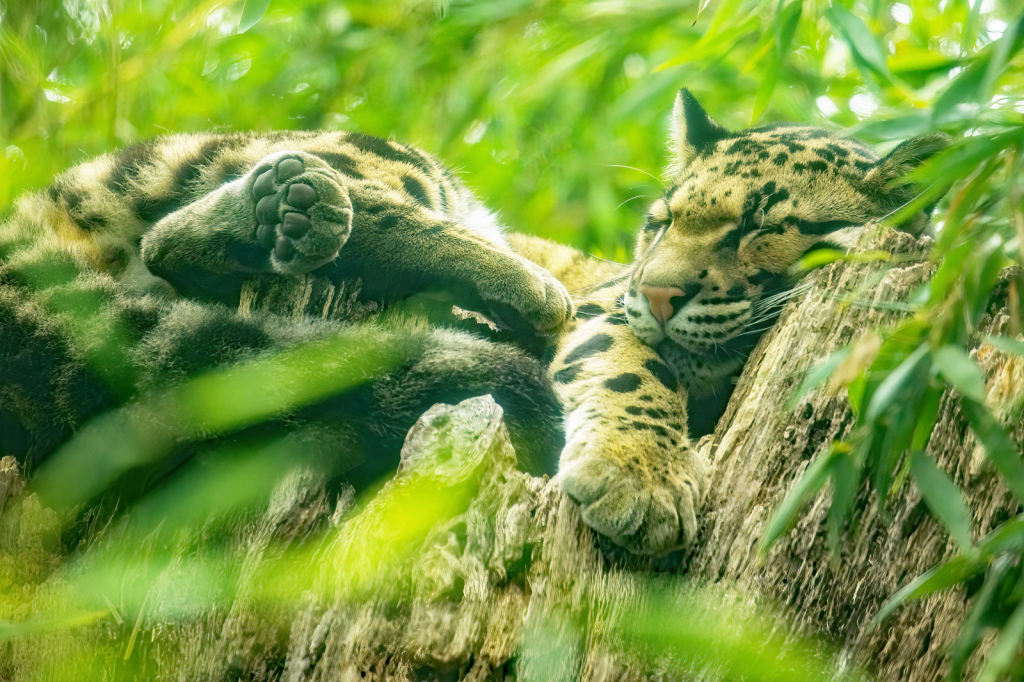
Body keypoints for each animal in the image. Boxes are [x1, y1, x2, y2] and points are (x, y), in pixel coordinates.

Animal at [0, 87, 942, 552]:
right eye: (664, 221)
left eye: (759, 226)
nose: (658, 291)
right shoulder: (609, 311)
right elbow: (631, 368)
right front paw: (641, 477)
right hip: (377, 161)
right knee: (194, 226)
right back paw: (502, 280)